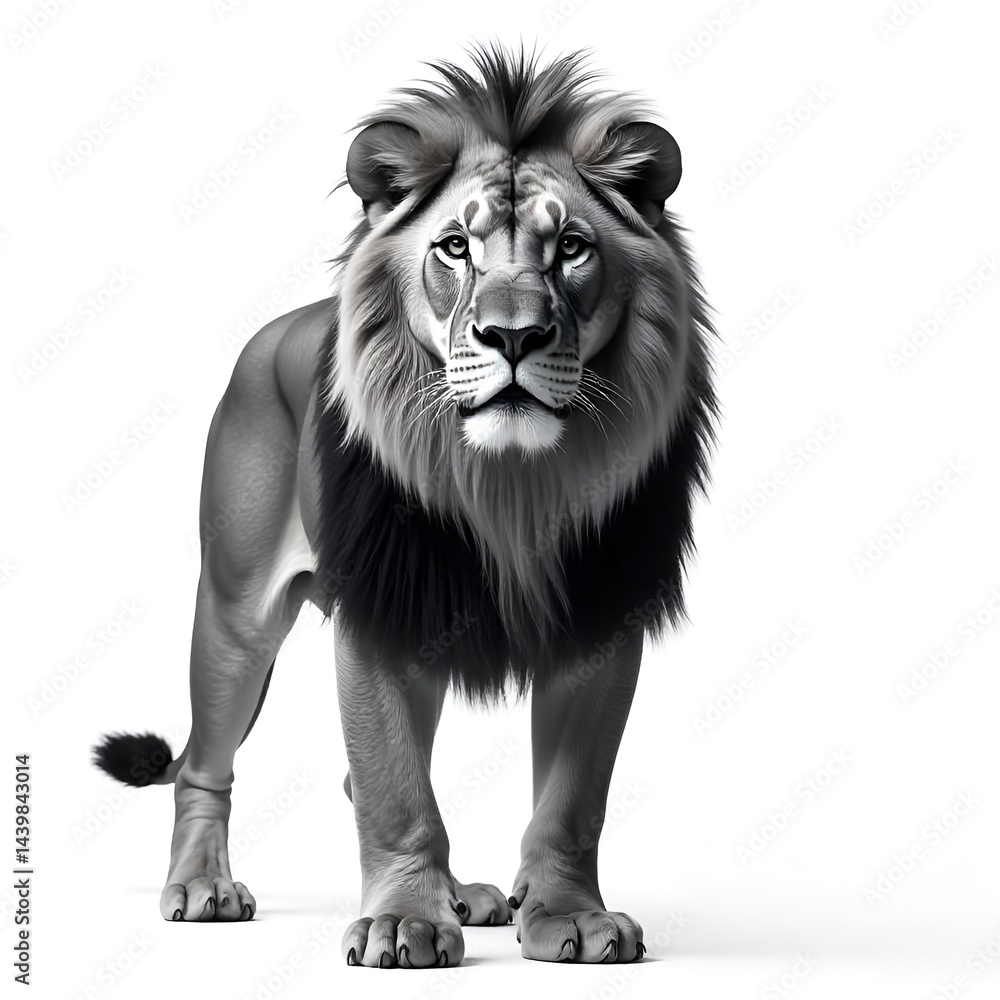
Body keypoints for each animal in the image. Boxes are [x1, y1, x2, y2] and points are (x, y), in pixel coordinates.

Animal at [92, 46, 717, 968]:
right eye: (454, 248)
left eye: (572, 248)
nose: (514, 336)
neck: (509, 486)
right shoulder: (378, 612)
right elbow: (395, 787)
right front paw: (403, 922)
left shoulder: (601, 615)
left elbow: (572, 800)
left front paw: (567, 916)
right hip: (236, 616)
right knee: (209, 763)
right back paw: (203, 887)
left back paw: (465, 896)